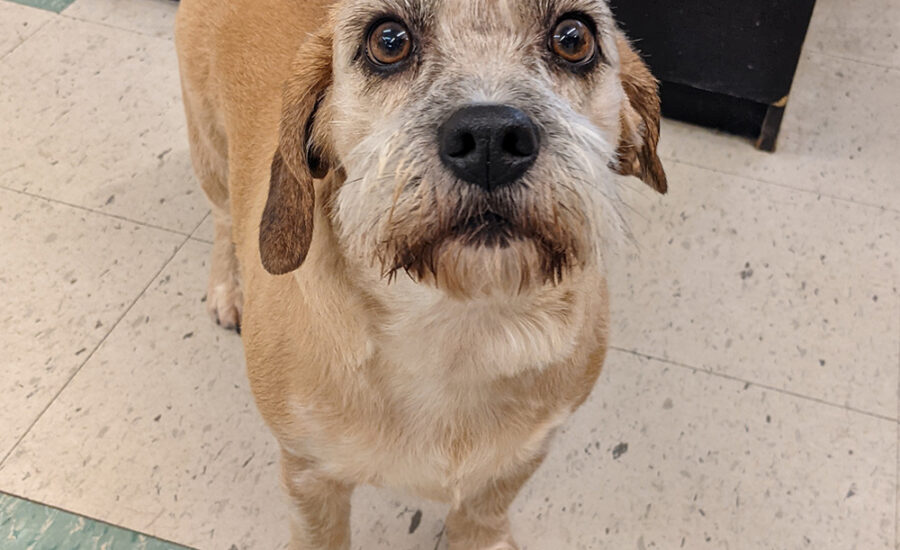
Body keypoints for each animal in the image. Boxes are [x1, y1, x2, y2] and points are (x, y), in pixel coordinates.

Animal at [178, 2, 668, 548]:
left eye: (573, 37)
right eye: (388, 41)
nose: (490, 138)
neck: (460, 327)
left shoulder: (517, 460)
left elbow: (483, 518)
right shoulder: (309, 475)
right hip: (209, 151)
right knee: (222, 219)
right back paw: (227, 289)